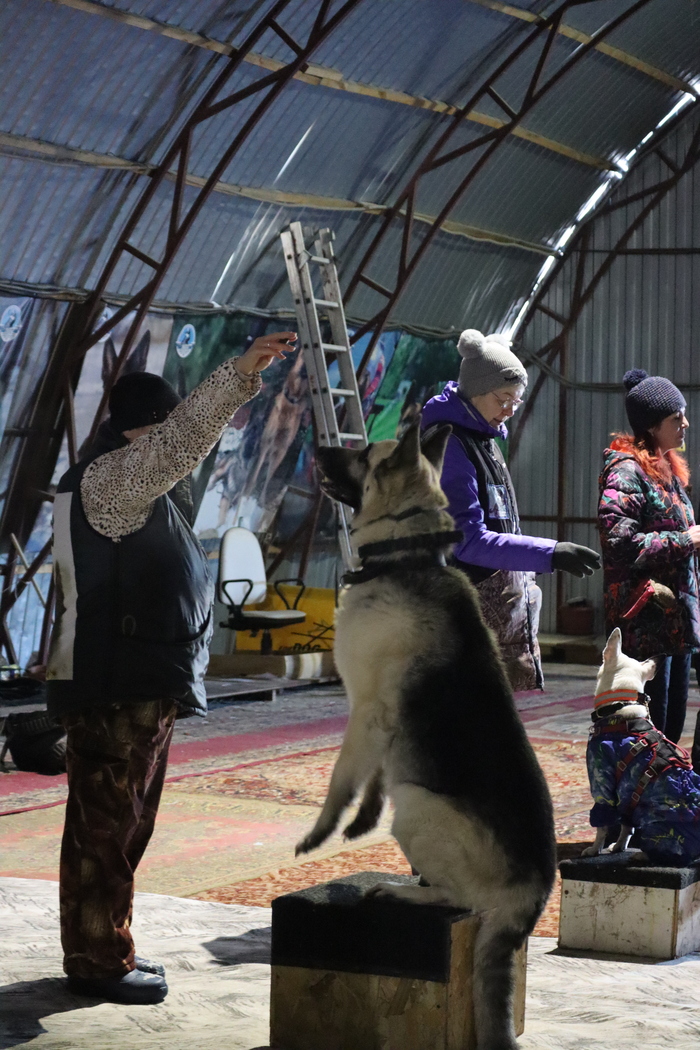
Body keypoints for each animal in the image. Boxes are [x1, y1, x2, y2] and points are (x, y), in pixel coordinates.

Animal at [295, 420, 555, 1050]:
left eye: (365, 454)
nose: (320, 447)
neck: (404, 556)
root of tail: (533, 894)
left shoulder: (366, 712)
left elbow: (341, 780)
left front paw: (321, 832)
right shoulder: (379, 730)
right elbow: (371, 782)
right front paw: (359, 822)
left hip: (416, 807)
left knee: (459, 900)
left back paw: (405, 891)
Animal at [582, 627, 700, 865]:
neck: (621, 711)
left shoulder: (602, 783)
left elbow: (602, 825)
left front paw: (595, 849)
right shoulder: (627, 798)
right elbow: (626, 826)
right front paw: (618, 846)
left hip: (659, 825)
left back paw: (644, 854)